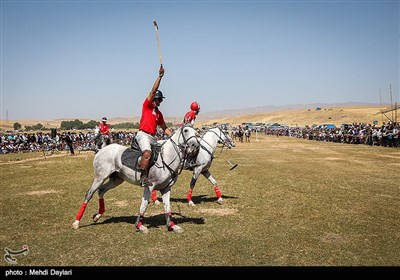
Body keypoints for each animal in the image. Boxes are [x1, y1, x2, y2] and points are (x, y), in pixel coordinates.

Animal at [72, 126, 200, 233]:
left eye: (196, 133)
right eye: (186, 130)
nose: (195, 146)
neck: (167, 158)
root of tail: (101, 150)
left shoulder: (166, 188)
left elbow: (167, 207)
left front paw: (172, 226)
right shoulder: (149, 186)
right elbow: (144, 205)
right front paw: (140, 226)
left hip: (116, 179)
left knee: (102, 190)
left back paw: (98, 215)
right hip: (100, 177)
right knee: (89, 193)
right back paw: (76, 222)